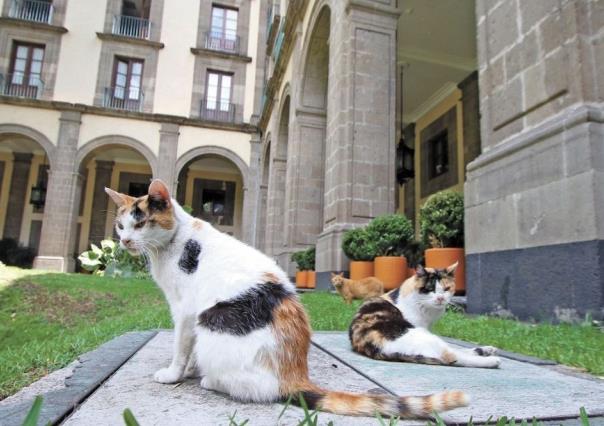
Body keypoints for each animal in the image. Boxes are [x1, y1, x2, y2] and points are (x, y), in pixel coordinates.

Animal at [106, 180, 470, 420]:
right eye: (120, 225)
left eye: (141, 222)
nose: (124, 240)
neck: (172, 245)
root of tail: (295, 373)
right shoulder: (189, 315)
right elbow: (189, 349)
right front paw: (190, 367)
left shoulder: (184, 310)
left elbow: (181, 347)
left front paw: (174, 373)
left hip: (213, 321)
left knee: (257, 389)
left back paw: (211, 380)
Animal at [350, 264, 500, 368]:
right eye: (430, 289)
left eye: (446, 289)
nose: (440, 298)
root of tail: (376, 348)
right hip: (423, 335)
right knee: (452, 356)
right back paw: (492, 360)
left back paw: (487, 350)